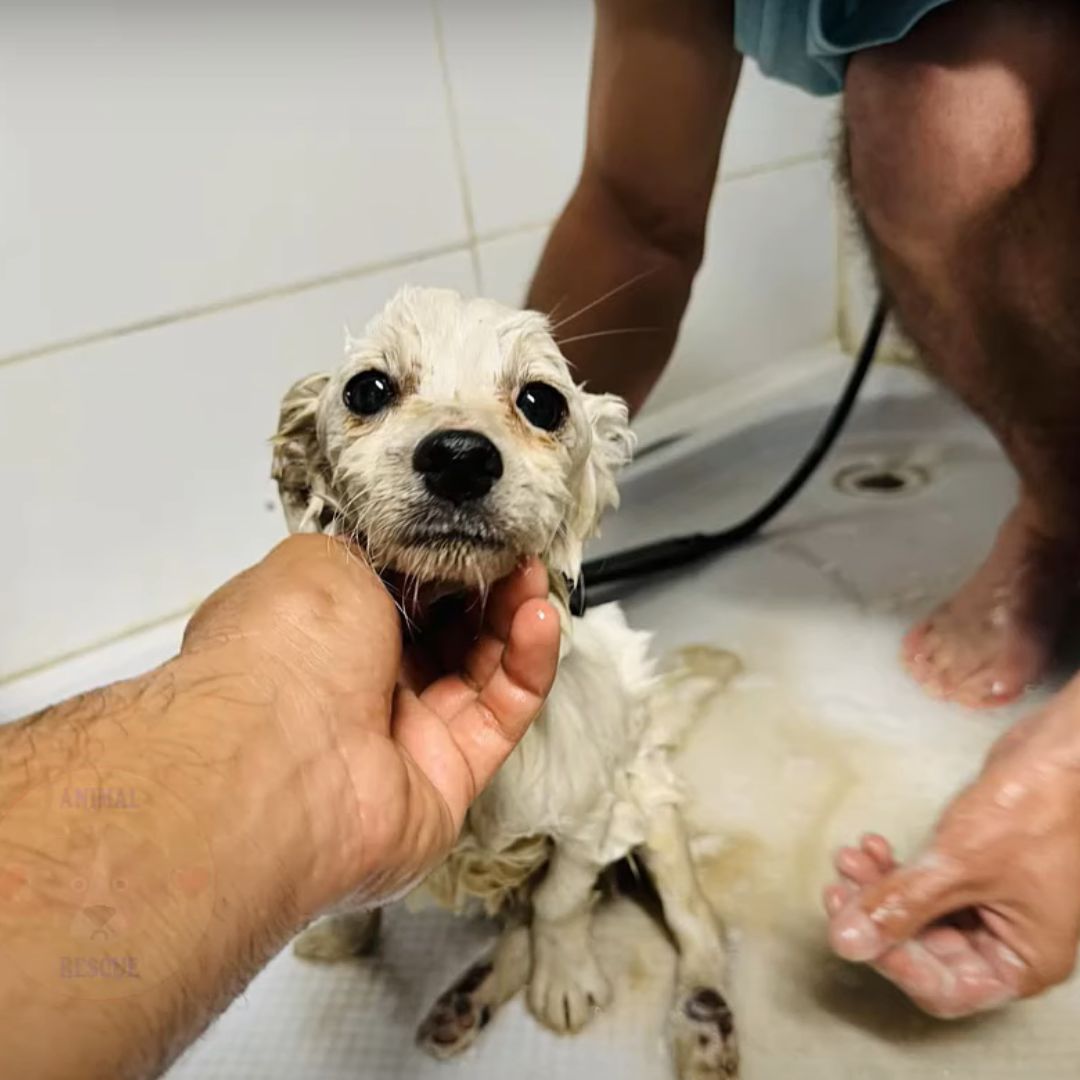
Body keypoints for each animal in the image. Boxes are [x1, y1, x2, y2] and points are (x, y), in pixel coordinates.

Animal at [274, 287, 738, 1080]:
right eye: (367, 389)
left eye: (541, 402)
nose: (459, 457)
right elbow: (364, 899)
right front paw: (343, 939)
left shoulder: (589, 818)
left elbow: (560, 903)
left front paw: (564, 979)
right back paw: (466, 1000)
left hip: (650, 805)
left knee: (694, 922)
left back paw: (703, 1018)